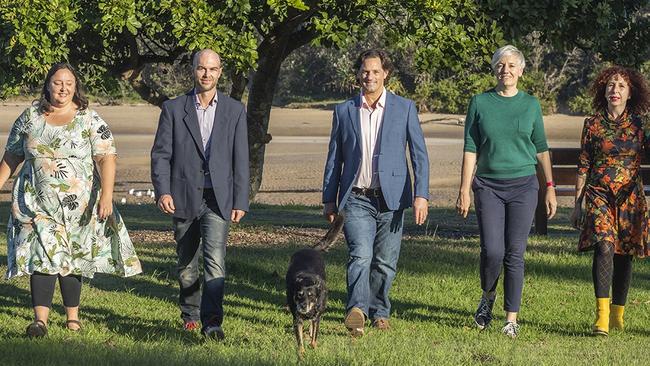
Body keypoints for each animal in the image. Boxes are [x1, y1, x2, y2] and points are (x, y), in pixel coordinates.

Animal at [284, 213, 342, 356]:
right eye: (299, 295)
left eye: (311, 295)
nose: (303, 306)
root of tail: (310, 249)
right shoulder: (297, 318)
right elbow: (299, 338)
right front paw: (301, 353)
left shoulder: (317, 316)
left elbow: (315, 333)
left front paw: (313, 346)